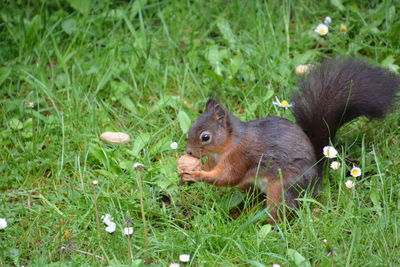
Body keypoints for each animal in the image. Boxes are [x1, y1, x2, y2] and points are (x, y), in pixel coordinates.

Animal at [179, 58, 400, 222]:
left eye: (205, 137)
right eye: (191, 127)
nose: (189, 151)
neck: (227, 146)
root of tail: (316, 176)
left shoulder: (240, 157)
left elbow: (227, 177)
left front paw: (196, 174)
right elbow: (214, 170)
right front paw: (187, 170)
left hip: (283, 187)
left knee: (280, 211)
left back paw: (266, 228)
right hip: (254, 187)